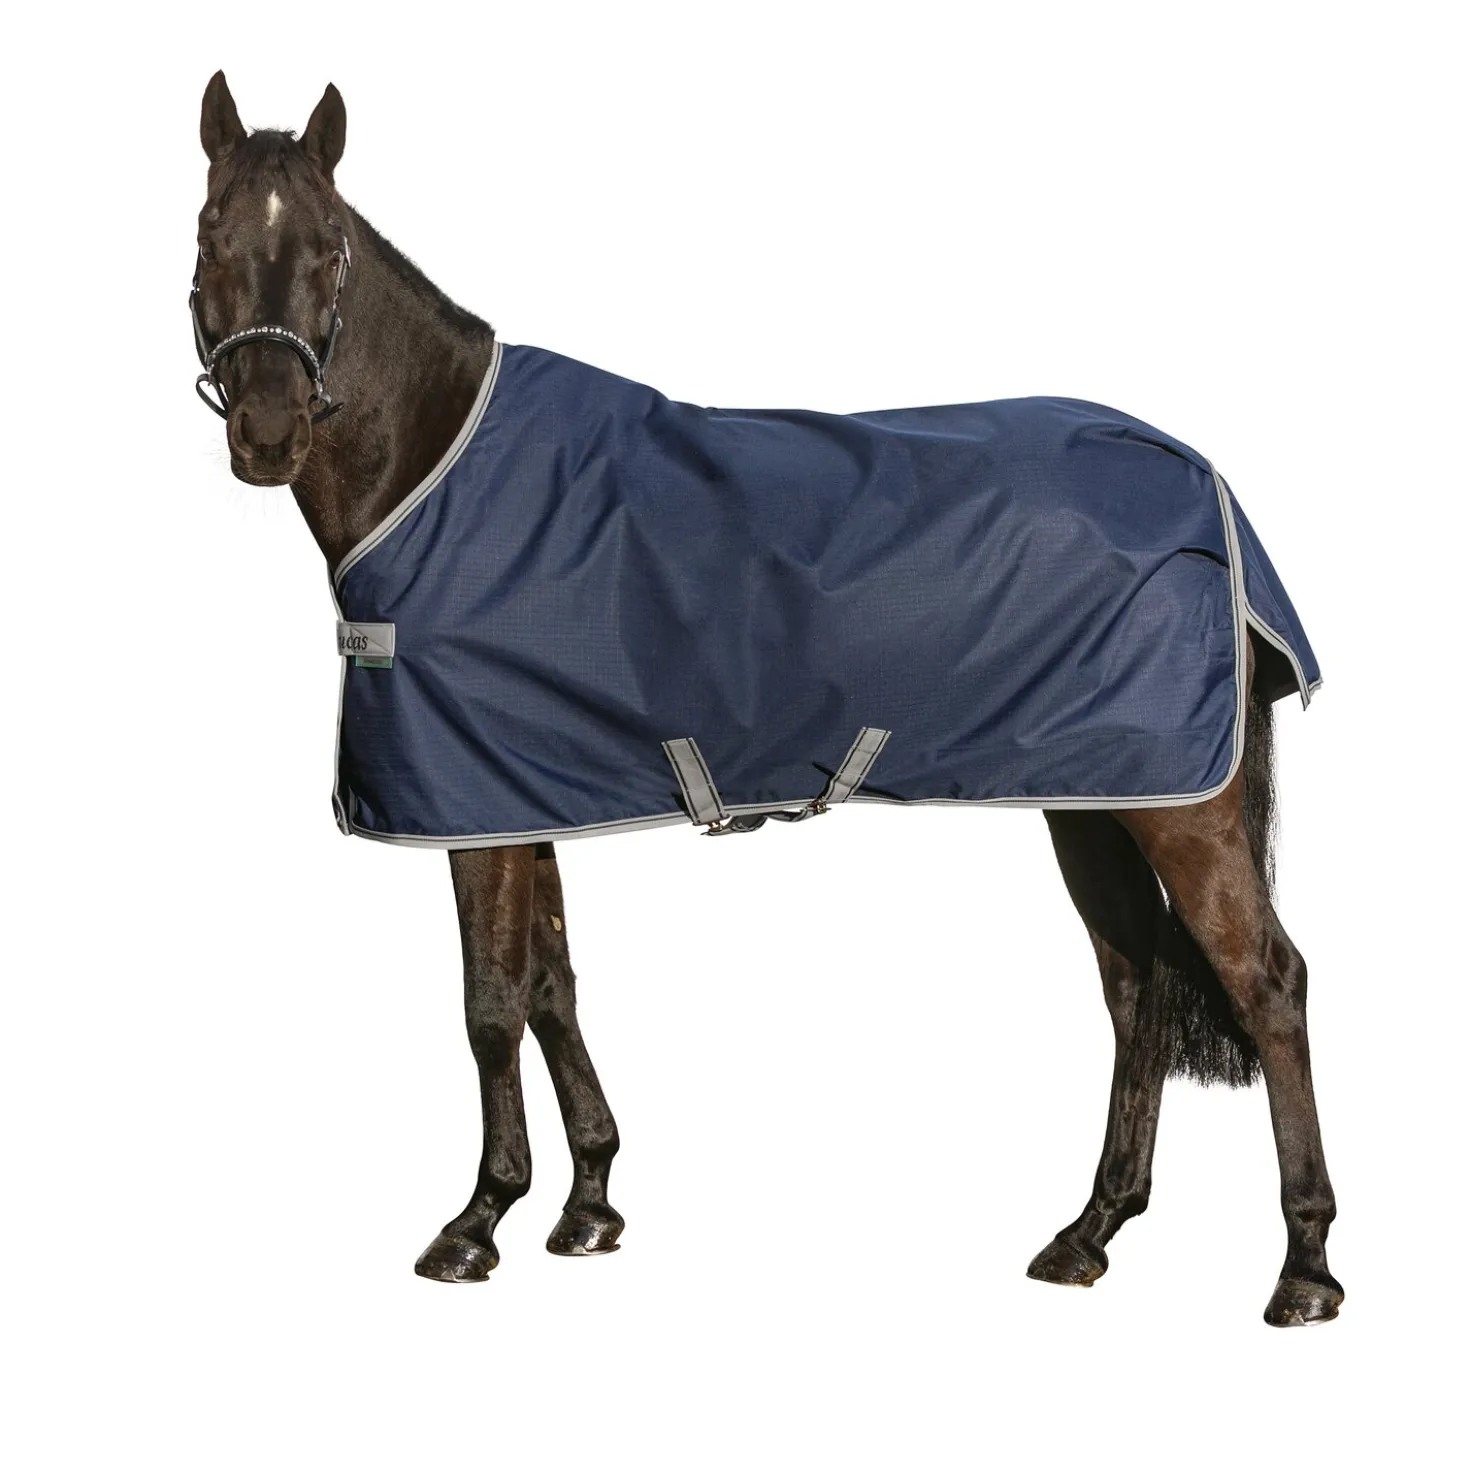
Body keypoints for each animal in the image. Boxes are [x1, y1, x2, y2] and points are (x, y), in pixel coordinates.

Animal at [190, 72, 1341, 1327]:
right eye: (211, 237)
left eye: (327, 247)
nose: (266, 432)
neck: (441, 466)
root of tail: (1202, 477)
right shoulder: (522, 793)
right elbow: (552, 986)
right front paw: (588, 1202)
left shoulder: (472, 802)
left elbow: (489, 1003)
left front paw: (477, 1220)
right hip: (1091, 796)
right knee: (1135, 985)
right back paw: (1089, 1231)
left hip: (1179, 806)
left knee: (1266, 982)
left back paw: (1304, 1267)